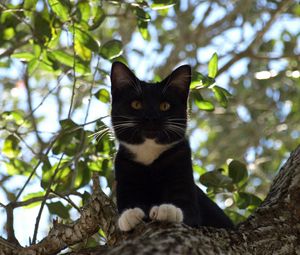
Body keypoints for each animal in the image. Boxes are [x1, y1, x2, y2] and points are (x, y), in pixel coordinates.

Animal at [110, 61, 234, 231]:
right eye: (136, 104)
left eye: (164, 106)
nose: (151, 117)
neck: (148, 154)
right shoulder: (124, 169)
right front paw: (129, 215)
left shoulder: (181, 163)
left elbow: (187, 209)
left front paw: (168, 210)